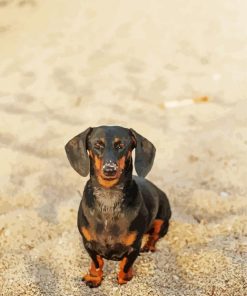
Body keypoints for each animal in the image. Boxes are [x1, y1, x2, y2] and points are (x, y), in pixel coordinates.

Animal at [64, 125, 171, 286]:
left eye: (121, 146)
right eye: (97, 145)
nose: (109, 169)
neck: (109, 199)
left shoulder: (134, 247)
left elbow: (125, 265)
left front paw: (124, 279)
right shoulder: (88, 243)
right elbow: (97, 262)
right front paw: (94, 277)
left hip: (162, 219)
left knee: (155, 235)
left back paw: (149, 246)